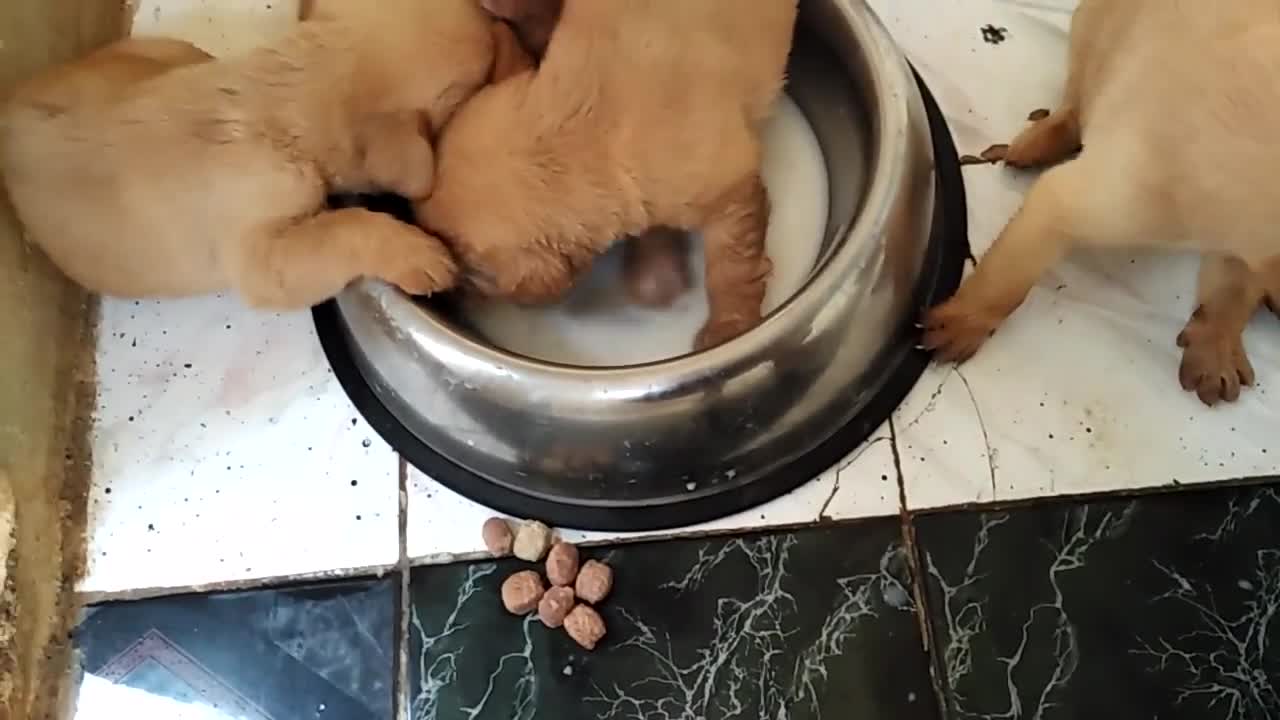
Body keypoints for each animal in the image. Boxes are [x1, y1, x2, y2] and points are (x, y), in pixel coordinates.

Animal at [1, 0, 509, 304]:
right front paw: (417, 254)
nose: (502, 18)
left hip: (165, 52)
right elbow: (343, 228)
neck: (283, 98)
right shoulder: (261, 255)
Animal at [921, 0, 1280, 404]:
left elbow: (1232, 291)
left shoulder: (1238, 241)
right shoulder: (1086, 200)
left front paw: (1214, 352)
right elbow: (1008, 277)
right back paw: (1034, 143)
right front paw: (961, 323)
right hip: (1091, 34)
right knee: (1074, 102)